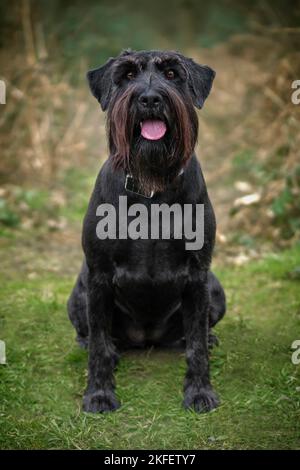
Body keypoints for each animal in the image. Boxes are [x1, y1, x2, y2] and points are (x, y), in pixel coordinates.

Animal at [67, 49, 225, 414]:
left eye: (172, 73)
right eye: (126, 75)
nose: (150, 98)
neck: (152, 186)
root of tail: (147, 338)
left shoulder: (198, 276)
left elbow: (197, 344)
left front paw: (199, 392)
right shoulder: (98, 277)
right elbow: (99, 343)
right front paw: (99, 394)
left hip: (216, 290)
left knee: (195, 333)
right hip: (78, 295)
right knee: (92, 335)